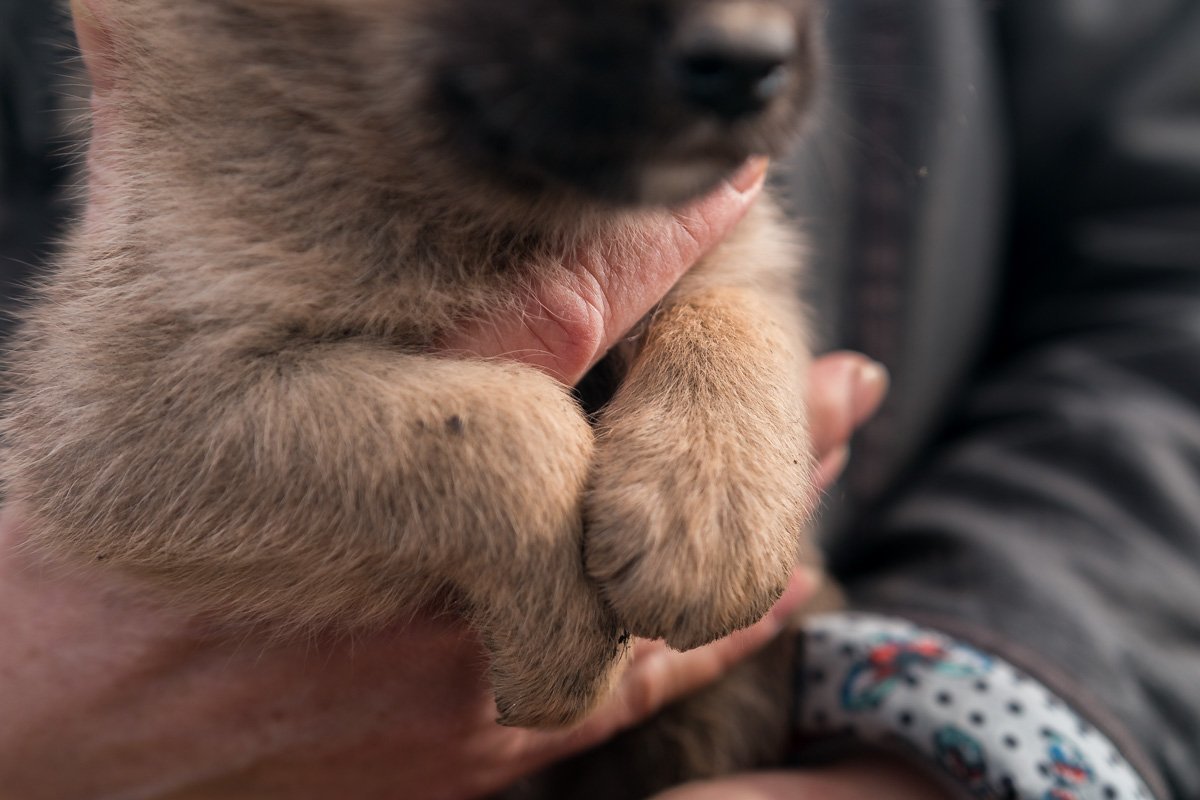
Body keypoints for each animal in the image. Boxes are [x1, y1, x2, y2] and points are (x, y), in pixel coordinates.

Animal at [2, 0, 816, 777]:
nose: (748, 62)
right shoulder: (125, 402)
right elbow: (515, 426)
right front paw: (567, 638)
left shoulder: (732, 240)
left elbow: (733, 313)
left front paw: (711, 504)